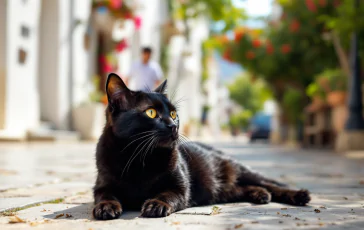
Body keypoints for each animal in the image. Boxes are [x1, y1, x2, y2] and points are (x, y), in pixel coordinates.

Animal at [93, 73, 310, 220]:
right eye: (151, 113)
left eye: (174, 114)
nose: (173, 126)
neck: (140, 157)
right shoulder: (101, 185)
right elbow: (104, 195)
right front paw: (105, 207)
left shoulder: (181, 188)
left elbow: (167, 194)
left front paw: (156, 204)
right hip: (224, 190)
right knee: (244, 188)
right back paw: (260, 195)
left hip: (243, 171)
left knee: (271, 183)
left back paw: (299, 195)